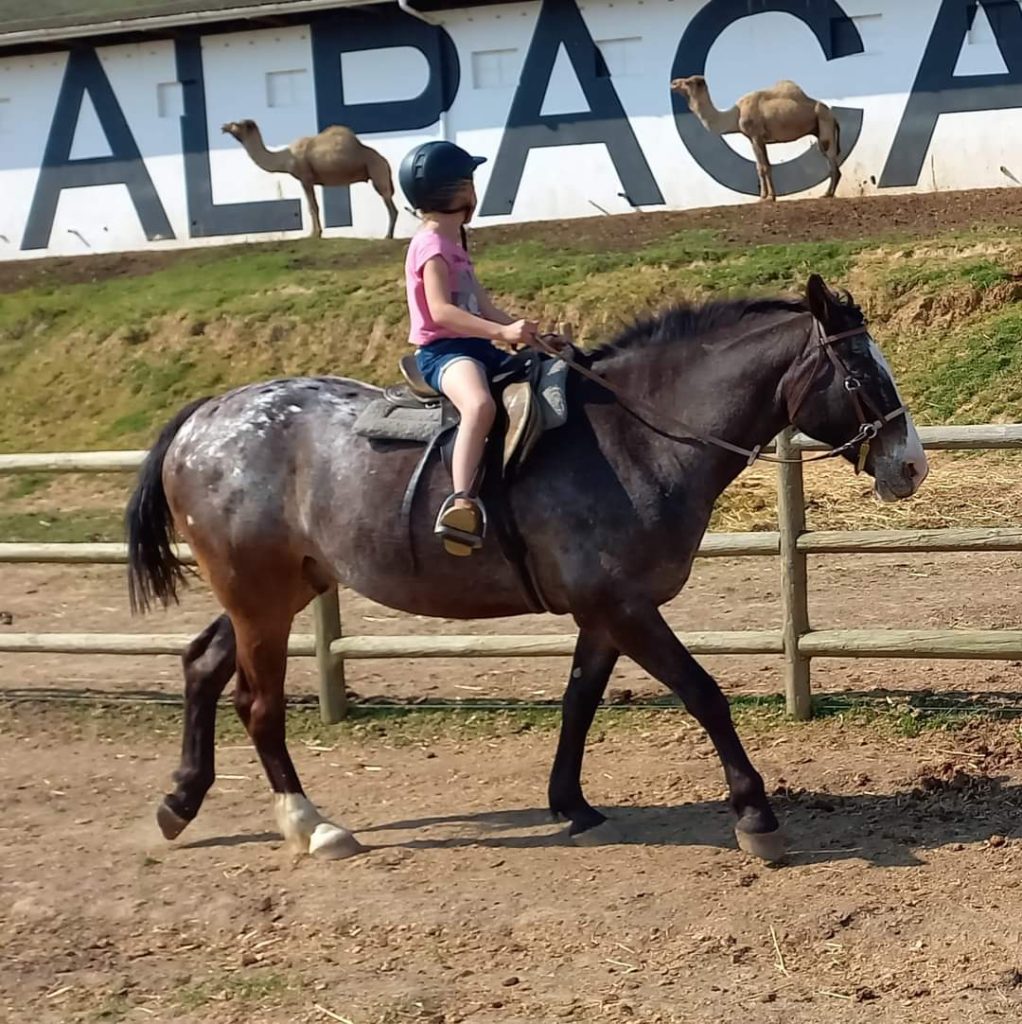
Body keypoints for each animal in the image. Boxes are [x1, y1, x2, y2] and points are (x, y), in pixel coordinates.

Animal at [125, 274, 929, 864]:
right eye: (860, 373)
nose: (912, 466)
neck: (634, 437)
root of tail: (205, 416)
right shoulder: (625, 608)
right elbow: (704, 694)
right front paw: (755, 813)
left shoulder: (605, 613)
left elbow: (579, 701)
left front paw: (571, 803)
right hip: (260, 597)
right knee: (258, 705)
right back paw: (312, 825)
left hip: (276, 589)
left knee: (203, 665)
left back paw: (179, 802)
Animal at [222, 119, 397, 237]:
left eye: (236, 124)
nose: (223, 126)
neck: (286, 158)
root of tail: (385, 161)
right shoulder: (308, 180)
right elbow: (310, 206)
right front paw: (315, 233)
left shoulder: (305, 178)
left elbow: (313, 206)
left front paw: (315, 234)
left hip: (377, 172)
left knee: (390, 205)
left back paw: (388, 236)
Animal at [667, 74, 843, 201]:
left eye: (688, 82)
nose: (673, 83)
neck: (735, 114)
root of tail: (833, 116)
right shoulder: (752, 138)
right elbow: (760, 166)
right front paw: (764, 196)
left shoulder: (756, 135)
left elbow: (765, 166)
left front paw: (769, 197)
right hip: (819, 128)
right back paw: (828, 193)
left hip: (824, 121)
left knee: (831, 157)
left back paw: (828, 194)